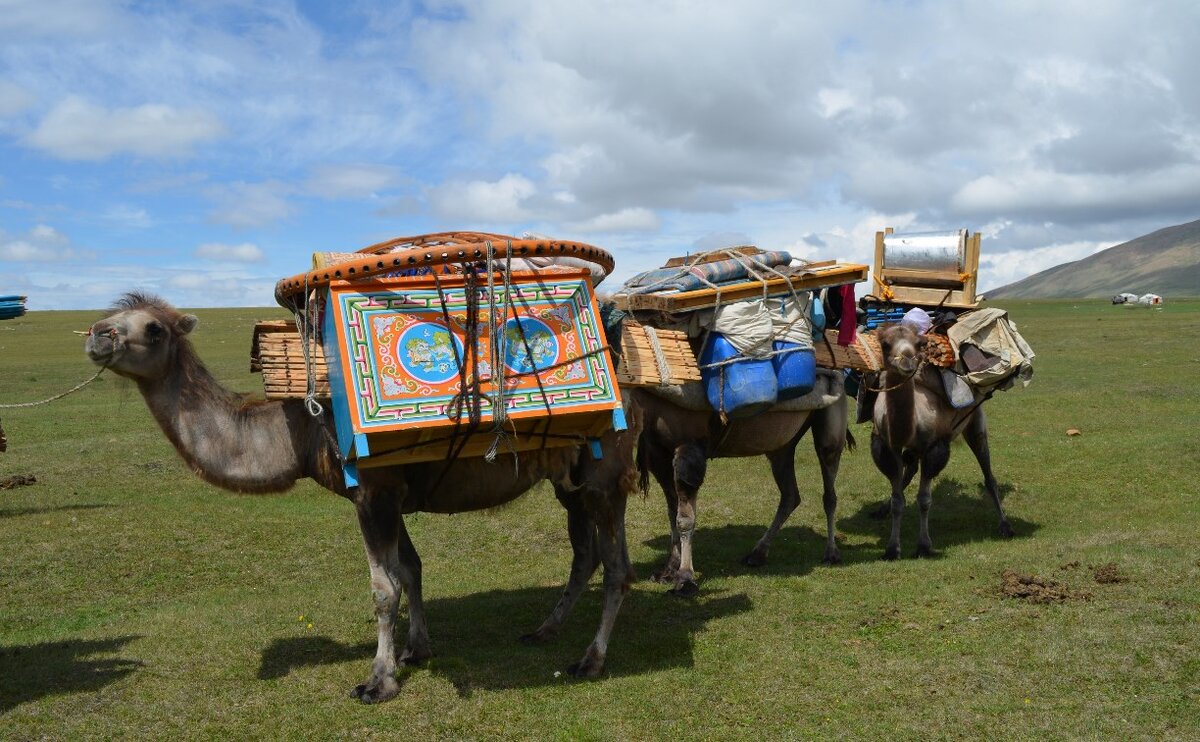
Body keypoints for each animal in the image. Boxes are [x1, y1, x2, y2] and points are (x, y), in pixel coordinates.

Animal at [84, 290, 648, 701]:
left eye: (153, 328)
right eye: (109, 317)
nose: (97, 335)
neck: (299, 429)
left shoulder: (374, 492)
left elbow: (384, 589)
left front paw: (379, 681)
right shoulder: (388, 495)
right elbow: (411, 570)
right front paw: (415, 651)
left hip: (606, 474)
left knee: (617, 566)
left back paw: (590, 660)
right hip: (570, 481)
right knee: (587, 554)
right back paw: (544, 631)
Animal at [624, 381, 849, 595]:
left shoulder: (690, 447)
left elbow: (685, 519)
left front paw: (685, 578)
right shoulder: (657, 451)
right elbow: (672, 513)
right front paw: (668, 571)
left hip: (830, 418)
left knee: (829, 490)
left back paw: (831, 553)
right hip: (782, 445)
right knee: (790, 495)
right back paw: (757, 554)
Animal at [868, 321, 1017, 557]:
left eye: (919, 343)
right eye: (885, 344)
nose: (907, 359)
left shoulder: (934, 446)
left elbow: (924, 500)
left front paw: (923, 545)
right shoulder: (887, 446)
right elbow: (898, 500)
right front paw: (892, 548)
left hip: (975, 422)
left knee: (988, 474)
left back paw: (1005, 526)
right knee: (910, 470)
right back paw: (882, 508)